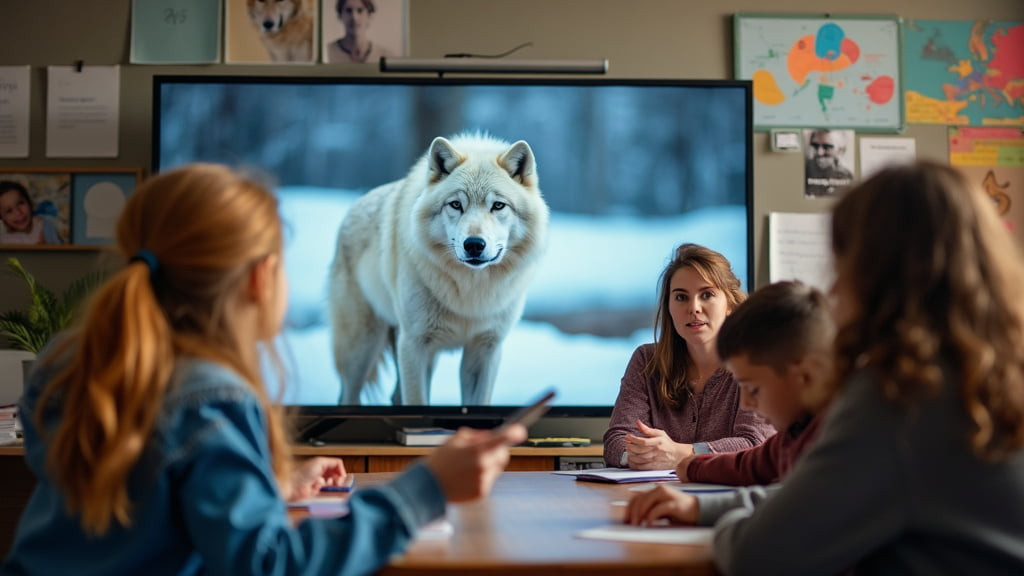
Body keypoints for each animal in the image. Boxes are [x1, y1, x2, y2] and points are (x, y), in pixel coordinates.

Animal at [327, 133, 552, 403]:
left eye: (498, 206)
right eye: (455, 205)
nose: (474, 244)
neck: (469, 294)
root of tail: (352, 208)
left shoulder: (485, 349)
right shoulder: (413, 345)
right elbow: (417, 400)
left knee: (394, 397)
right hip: (361, 350)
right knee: (349, 396)